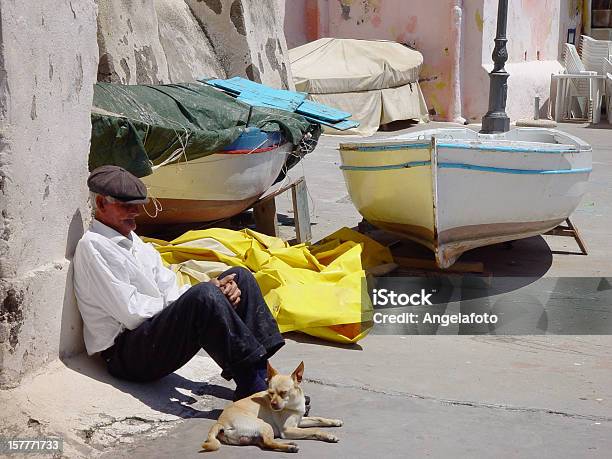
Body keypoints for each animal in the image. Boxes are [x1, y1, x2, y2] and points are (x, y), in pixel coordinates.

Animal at [202, 362, 342, 452]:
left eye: (283, 393)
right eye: (270, 393)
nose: (272, 404)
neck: (293, 404)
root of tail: (220, 422)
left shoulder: (300, 420)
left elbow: (319, 419)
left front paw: (335, 421)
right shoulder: (288, 430)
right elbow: (314, 430)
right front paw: (329, 435)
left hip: (255, 436)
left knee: (266, 444)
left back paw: (287, 445)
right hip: (265, 425)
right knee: (269, 442)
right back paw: (289, 447)